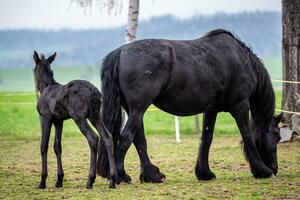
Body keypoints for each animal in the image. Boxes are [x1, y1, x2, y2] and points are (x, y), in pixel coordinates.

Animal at [32, 51, 117, 189]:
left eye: (34, 69)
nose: (36, 84)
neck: (46, 87)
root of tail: (94, 92)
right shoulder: (58, 121)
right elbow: (57, 147)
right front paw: (59, 180)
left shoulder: (46, 117)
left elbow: (43, 146)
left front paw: (42, 181)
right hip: (95, 116)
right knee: (107, 136)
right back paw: (112, 180)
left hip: (79, 117)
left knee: (93, 137)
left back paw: (90, 180)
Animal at [97, 28, 282, 184]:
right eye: (277, 137)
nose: (275, 168)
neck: (241, 61)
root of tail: (120, 52)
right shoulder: (240, 105)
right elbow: (248, 136)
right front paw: (262, 170)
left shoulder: (211, 110)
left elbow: (206, 139)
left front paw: (204, 173)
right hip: (138, 109)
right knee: (127, 137)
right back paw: (122, 175)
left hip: (134, 110)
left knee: (139, 139)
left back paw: (152, 175)